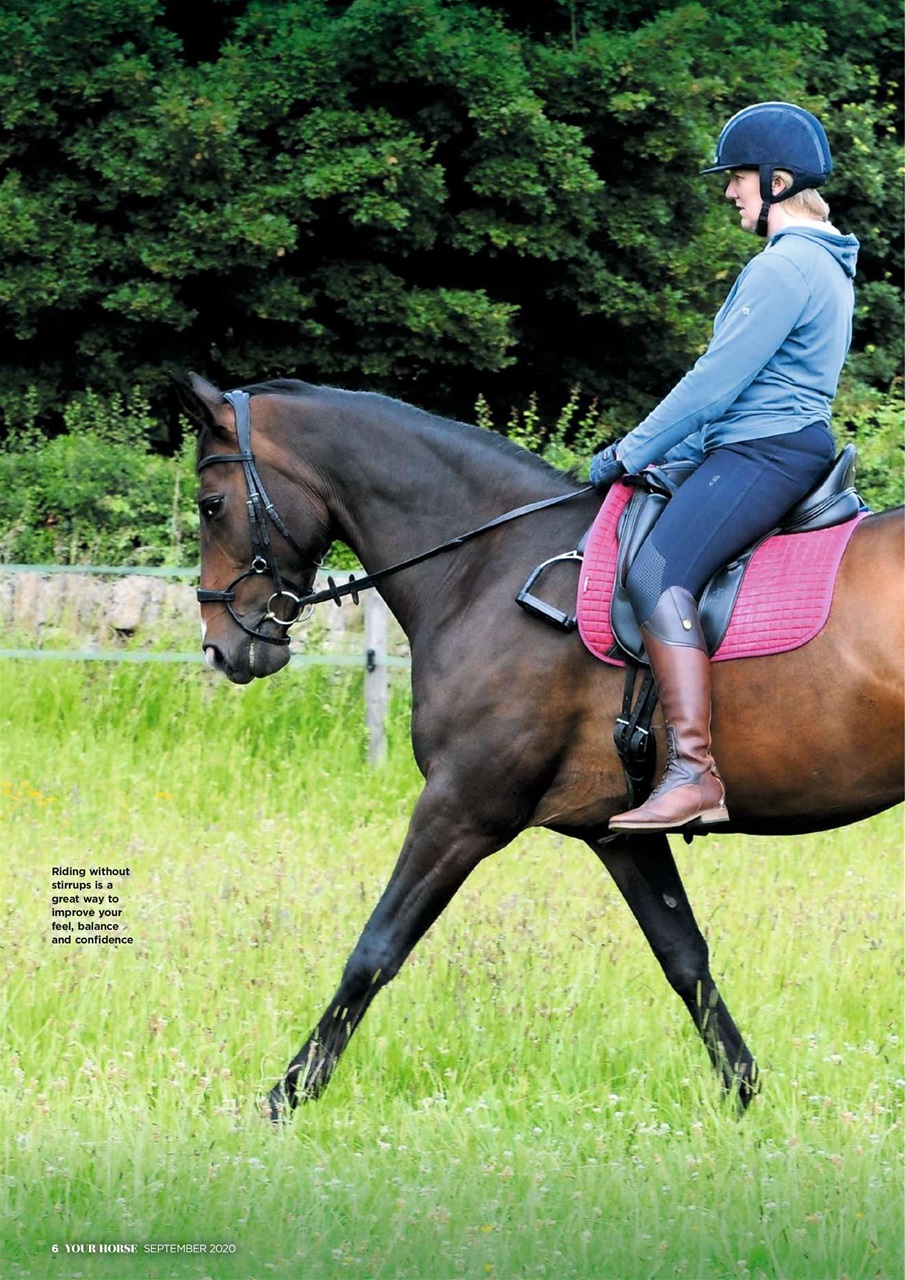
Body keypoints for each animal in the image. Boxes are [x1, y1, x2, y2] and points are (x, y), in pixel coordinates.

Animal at [177, 372, 905, 1120]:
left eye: (211, 504)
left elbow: (374, 950)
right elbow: (684, 957)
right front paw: (742, 1094)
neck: (486, 568)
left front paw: (285, 1096)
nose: (222, 647)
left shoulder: (461, 809)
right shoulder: (619, 832)